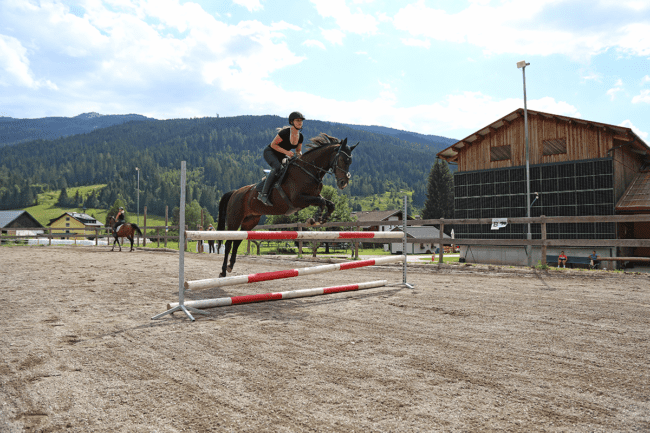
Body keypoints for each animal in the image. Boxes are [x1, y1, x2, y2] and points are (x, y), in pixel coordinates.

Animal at [215, 132, 356, 278]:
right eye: (343, 160)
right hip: (234, 219)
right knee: (229, 243)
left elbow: (329, 203)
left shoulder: (313, 197)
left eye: (350, 161)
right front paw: (315, 219)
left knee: (238, 240)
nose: (343, 183)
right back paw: (223, 271)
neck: (309, 170)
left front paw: (321, 218)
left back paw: (230, 266)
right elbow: (322, 202)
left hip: (250, 220)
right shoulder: (298, 199)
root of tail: (235, 192)